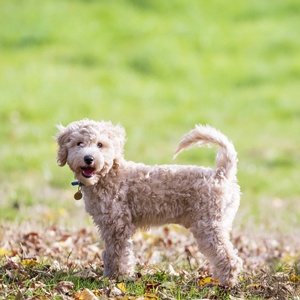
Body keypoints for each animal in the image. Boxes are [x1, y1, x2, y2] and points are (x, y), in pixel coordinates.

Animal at [56, 118, 243, 284]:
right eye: (79, 143)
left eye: (100, 145)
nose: (89, 158)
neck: (109, 175)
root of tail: (222, 174)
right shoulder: (109, 225)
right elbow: (111, 253)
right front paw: (112, 275)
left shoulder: (118, 225)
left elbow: (116, 254)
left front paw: (117, 277)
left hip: (209, 226)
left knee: (229, 257)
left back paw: (224, 283)